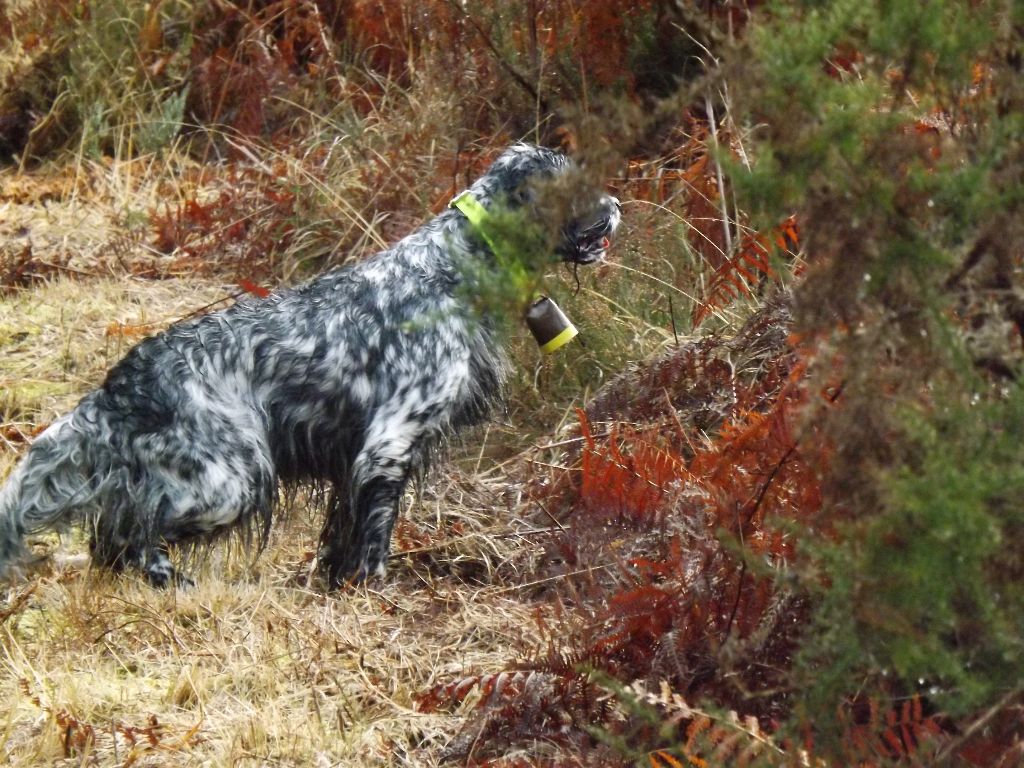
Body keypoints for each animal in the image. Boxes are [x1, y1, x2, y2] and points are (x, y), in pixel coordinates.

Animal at [0, 143, 622, 589]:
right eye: (575, 184)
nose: (617, 206)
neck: (455, 267)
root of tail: (119, 387)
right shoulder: (388, 442)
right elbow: (374, 536)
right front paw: (374, 591)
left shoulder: (354, 456)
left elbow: (342, 536)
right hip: (236, 477)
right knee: (133, 533)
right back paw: (171, 582)